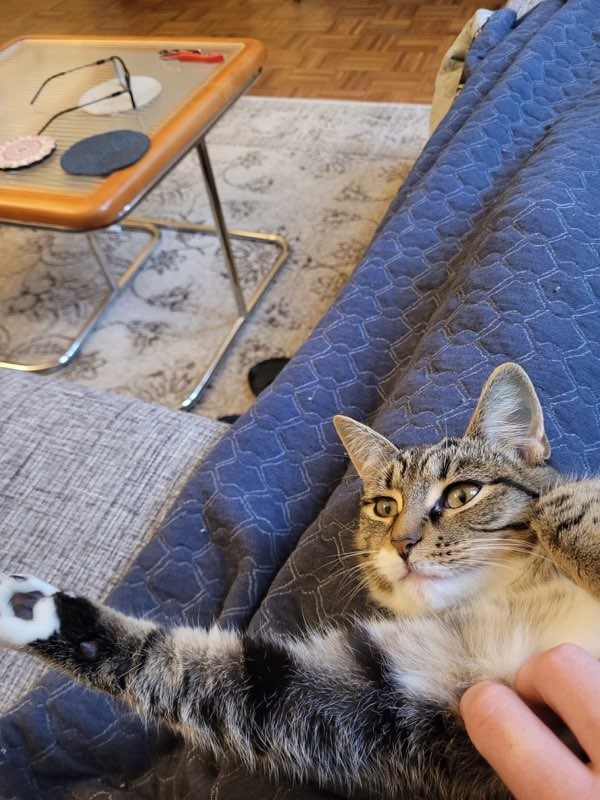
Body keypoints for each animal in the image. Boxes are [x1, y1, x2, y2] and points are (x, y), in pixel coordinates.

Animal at [2, 362, 600, 799]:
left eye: (462, 494)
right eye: (384, 507)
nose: (402, 544)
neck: (510, 593)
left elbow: (560, 508)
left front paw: (560, 505)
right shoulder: (373, 705)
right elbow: (204, 673)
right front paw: (32, 608)